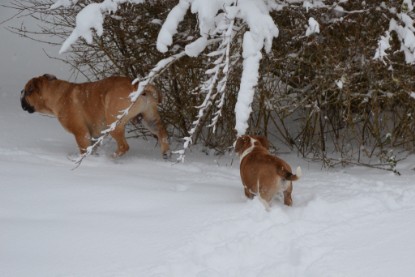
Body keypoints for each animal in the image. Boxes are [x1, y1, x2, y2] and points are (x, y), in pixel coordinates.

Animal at [20, 74, 170, 157]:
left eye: (26, 92)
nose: (20, 96)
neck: (57, 93)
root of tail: (139, 86)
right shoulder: (94, 135)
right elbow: (93, 148)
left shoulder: (81, 133)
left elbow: (84, 149)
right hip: (150, 118)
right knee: (162, 132)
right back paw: (166, 152)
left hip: (114, 123)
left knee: (124, 146)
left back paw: (111, 158)